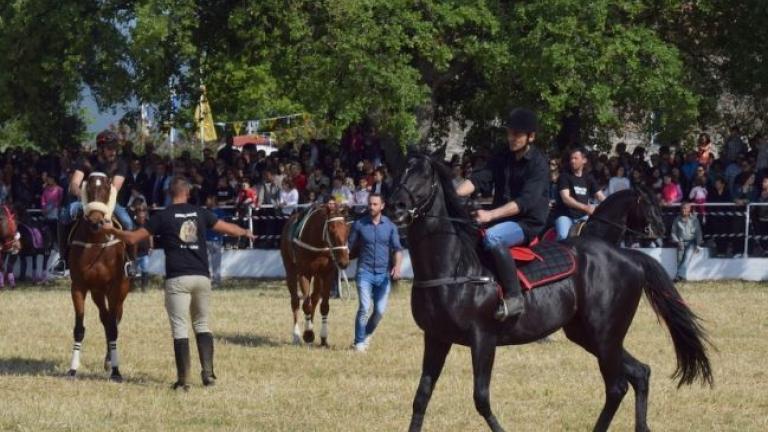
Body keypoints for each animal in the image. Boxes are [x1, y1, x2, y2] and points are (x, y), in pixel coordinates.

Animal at [67, 172, 130, 382]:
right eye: (88, 188)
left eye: (106, 188)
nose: (96, 222)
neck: (96, 242)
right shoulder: (78, 286)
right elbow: (79, 329)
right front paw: (72, 370)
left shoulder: (115, 287)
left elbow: (113, 328)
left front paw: (116, 371)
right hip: (97, 293)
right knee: (105, 317)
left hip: (121, 290)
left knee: (114, 320)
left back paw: (110, 360)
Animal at [280, 203, 352, 348]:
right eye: (331, 231)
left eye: (347, 230)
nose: (344, 262)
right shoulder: (304, 273)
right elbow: (305, 305)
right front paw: (308, 334)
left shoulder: (327, 274)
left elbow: (324, 306)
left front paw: (323, 337)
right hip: (290, 270)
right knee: (295, 301)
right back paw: (297, 335)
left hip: (317, 276)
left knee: (314, 299)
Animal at [388, 151, 712, 432]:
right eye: (401, 172)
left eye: (424, 176)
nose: (396, 207)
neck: (455, 266)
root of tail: (628, 257)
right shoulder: (436, 338)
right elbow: (421, 397)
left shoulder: (483, 339)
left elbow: (481, 400)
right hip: (590, 335)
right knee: (639, 374)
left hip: (604, 334)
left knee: (617, 386)